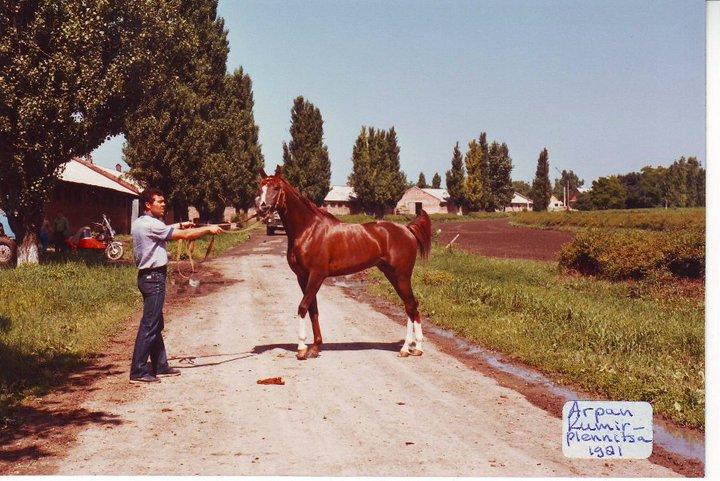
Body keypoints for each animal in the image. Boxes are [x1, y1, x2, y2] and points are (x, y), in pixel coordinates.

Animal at [256, 166, 432, 360]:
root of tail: (407, 230)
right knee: (411, 306)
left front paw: (301, 348)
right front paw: (315, 347)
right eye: (260, 188)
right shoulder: (302, 277)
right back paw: (414, 348)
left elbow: (302, 307)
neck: (308, 230)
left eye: (276, 188)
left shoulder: (316, 275)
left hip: (401, 276)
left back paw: (410, 348)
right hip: (392, 275)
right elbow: (312, 310)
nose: (262, 208)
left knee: (411, 305)